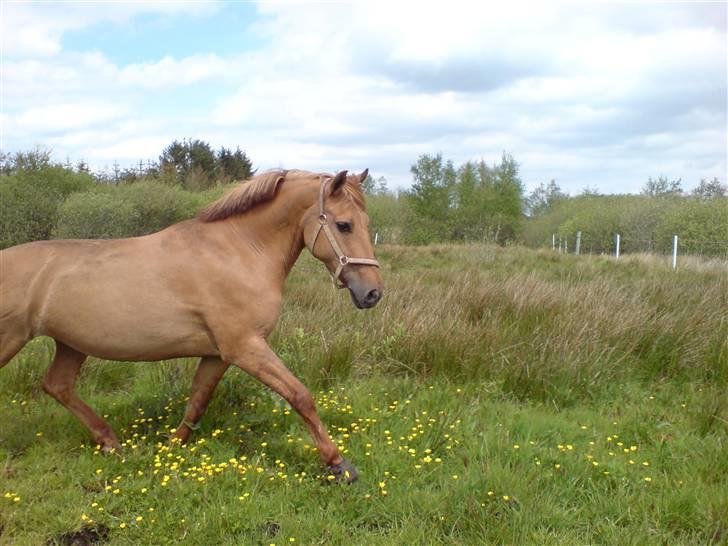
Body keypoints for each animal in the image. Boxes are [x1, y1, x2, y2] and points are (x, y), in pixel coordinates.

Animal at [0, 169, 384, 480]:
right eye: (344, 224)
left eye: (367, 225)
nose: (372, 293)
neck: (239, 251)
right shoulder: (246, 347)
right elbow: (301, 396)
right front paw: (338, 465)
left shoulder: (219, 355)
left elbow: (197, 400)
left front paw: (171, 448)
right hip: (13, 341)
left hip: (71, 344)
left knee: (58, 386)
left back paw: (111, 442)